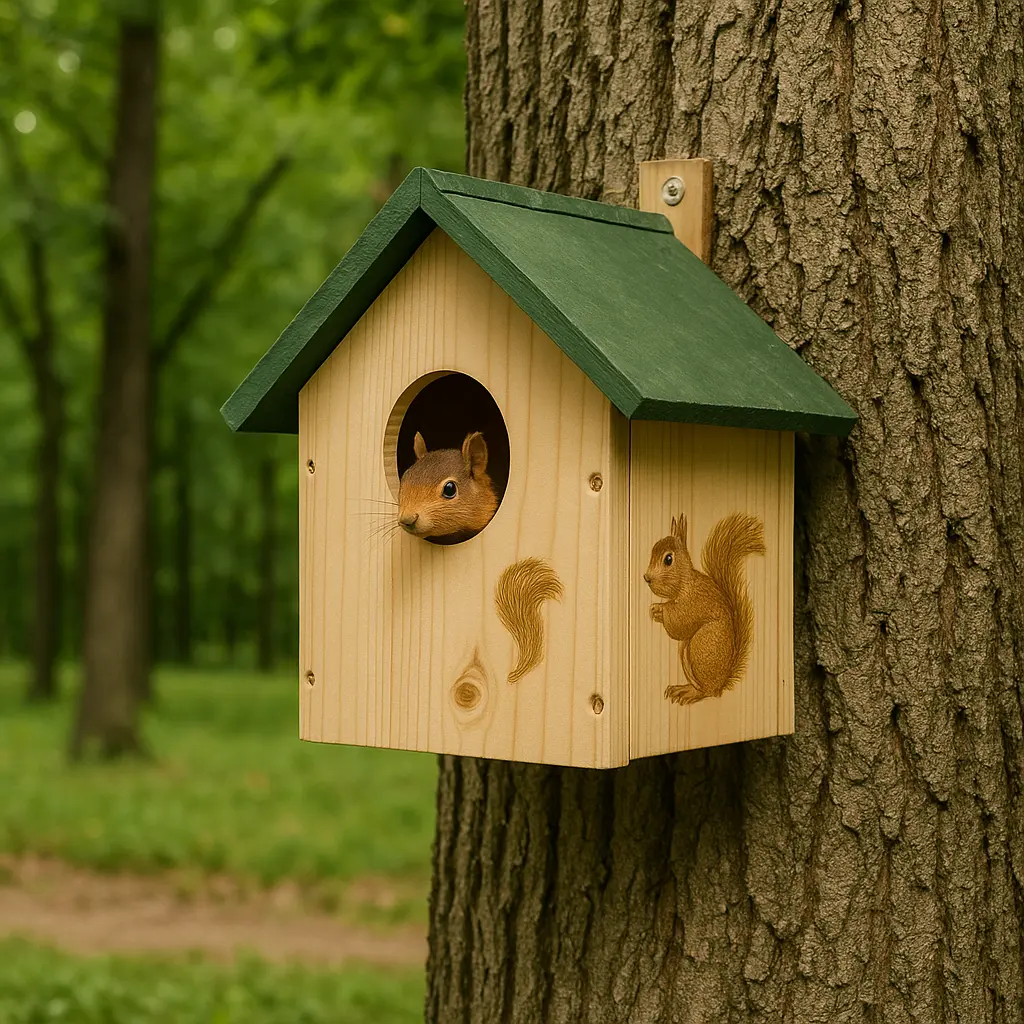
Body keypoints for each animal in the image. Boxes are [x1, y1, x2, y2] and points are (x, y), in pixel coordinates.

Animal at [644, 512, 765, 706]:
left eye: (668, 559)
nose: (646, 578)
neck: (685, 583)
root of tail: (721, 683)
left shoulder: (694, 603)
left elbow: (680, 623)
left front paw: (659, 609)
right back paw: (684, 689)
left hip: (700, 647)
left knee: (708, 692)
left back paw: (690, 694)